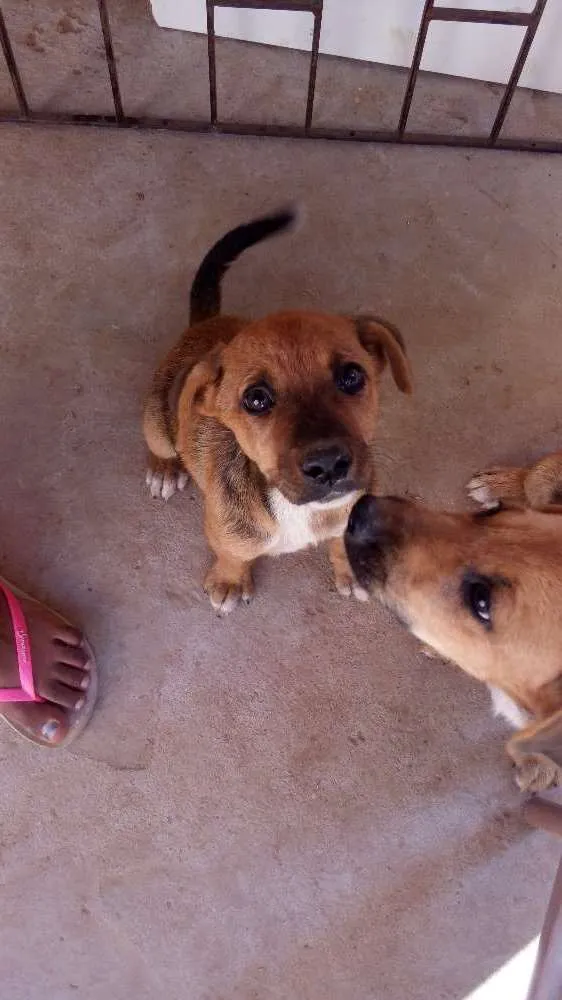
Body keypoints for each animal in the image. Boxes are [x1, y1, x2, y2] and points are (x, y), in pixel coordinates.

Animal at [142, 210, 410, 612]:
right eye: (256, 399)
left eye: (352, 376)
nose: (328, 465)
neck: (302, 512)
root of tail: (205, 324)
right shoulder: (225, 530)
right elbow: (232, 554)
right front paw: (230, 580)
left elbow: (340, 541)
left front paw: (350, 569)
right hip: (156, 422)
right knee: (160, 445)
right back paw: (164, 469)